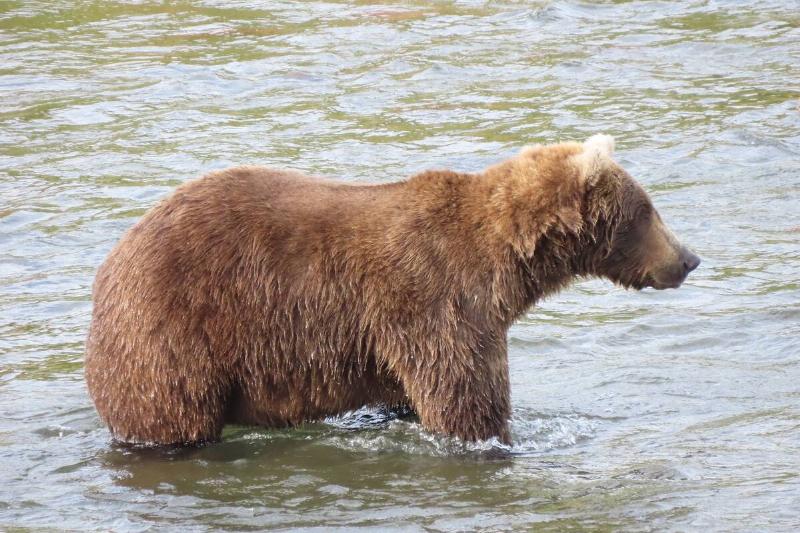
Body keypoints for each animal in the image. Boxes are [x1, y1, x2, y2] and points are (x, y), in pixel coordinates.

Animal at [85, 135, 700, 446]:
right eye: (647, 211)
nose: (689, 259)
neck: (505, 265)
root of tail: (108, 267)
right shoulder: (438, 301)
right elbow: (464, 399)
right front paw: (498, 440)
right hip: (171, 334)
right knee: (172, 417)